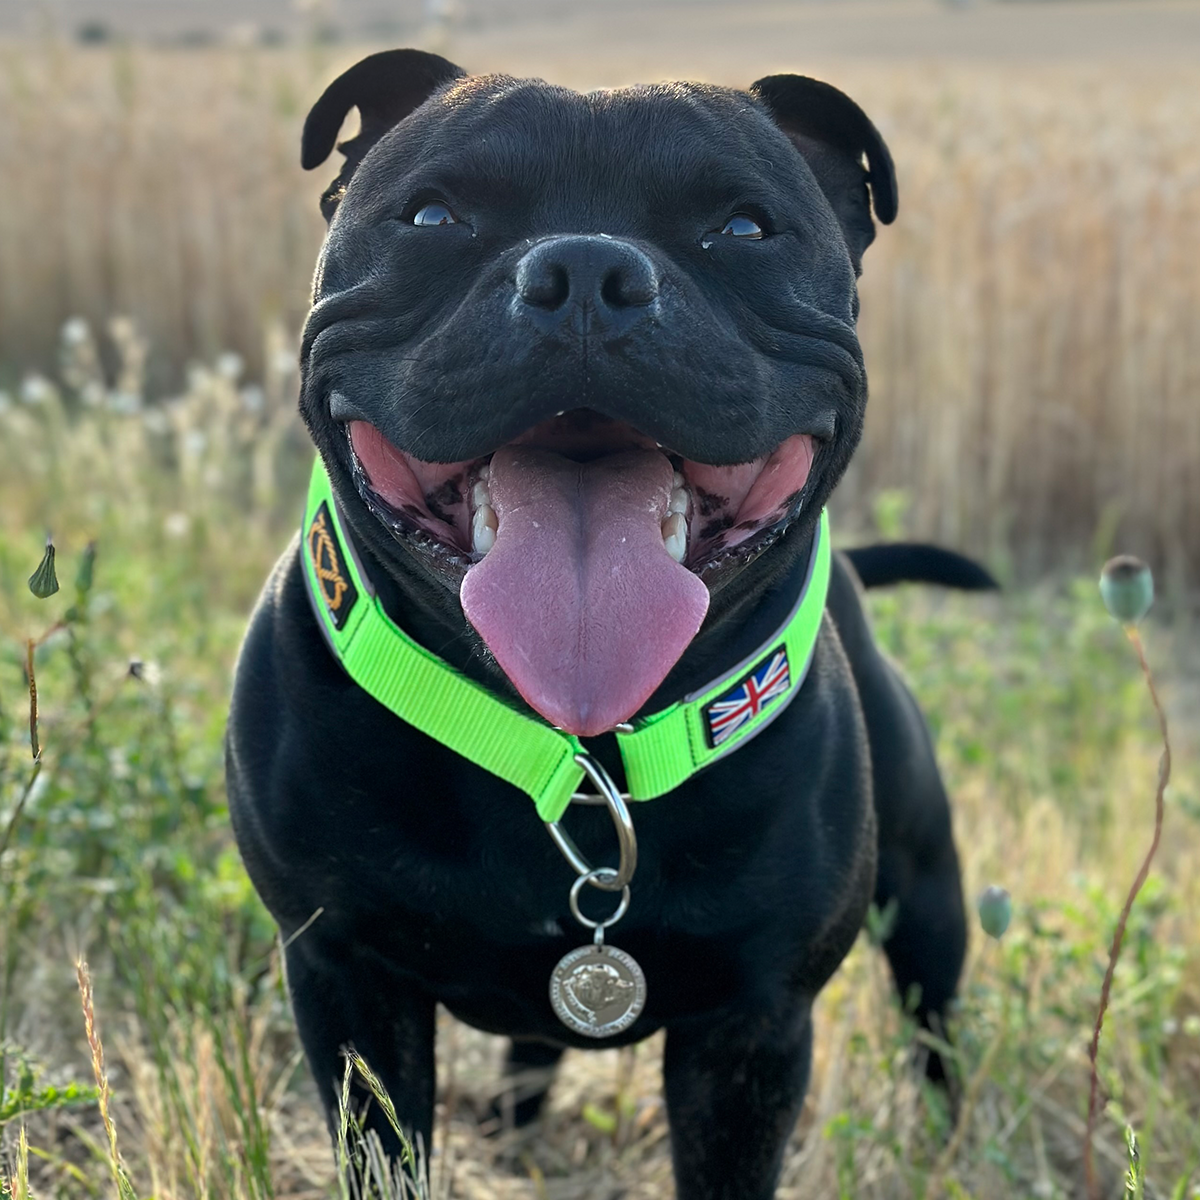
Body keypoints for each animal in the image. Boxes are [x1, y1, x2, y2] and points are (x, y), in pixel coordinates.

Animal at [226, 54, 984, 1200]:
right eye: (435, 214)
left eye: (744, 228)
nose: (585, 270)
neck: (573, 751)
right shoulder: (346, 977)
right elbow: (385, 1153)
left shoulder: (751, 1030)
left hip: (928, 892)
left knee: (934, 1021)